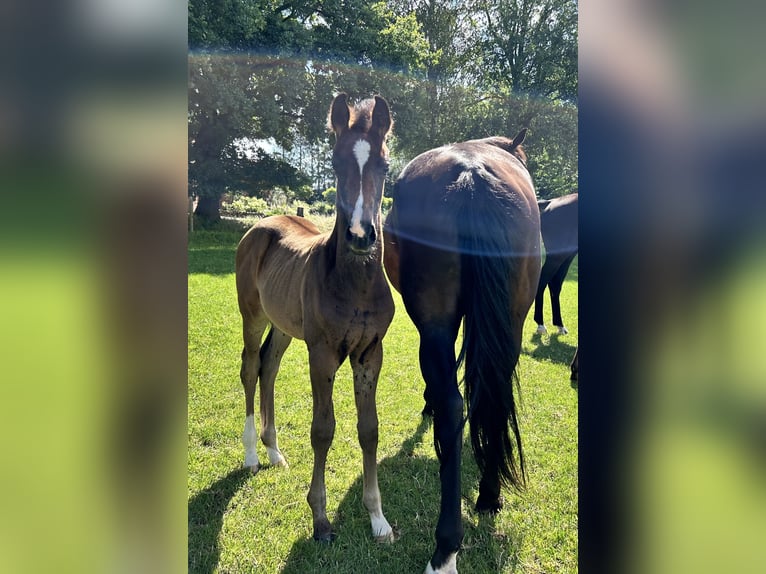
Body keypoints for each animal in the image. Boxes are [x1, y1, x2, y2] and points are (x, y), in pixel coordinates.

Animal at [236, 93, 396, 544]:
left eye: (384, 165)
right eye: (336, 164)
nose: (361, 236)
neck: (356, 284)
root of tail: (262, 223)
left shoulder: (369, 354)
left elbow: (369, 429)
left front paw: (378, 519)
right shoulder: (322, 353)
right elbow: (323, 429)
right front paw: (321, 518)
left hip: (284, 328)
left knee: (269, 367)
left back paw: (274, 452)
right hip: (253, 316)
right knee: (251, 369)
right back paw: (252, 454)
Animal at [382, 132, 540, 574]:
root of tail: (473, 173)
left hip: (434, 322)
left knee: (453, 403)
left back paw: (445, 548)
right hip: (510, 319)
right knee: (495, 395)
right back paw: (489, 496)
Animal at [536, 195, 584, 338]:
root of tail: (551, 203)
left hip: (568, 255)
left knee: (555, 284)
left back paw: (560, 325)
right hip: (558, 256)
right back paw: (541, 325)